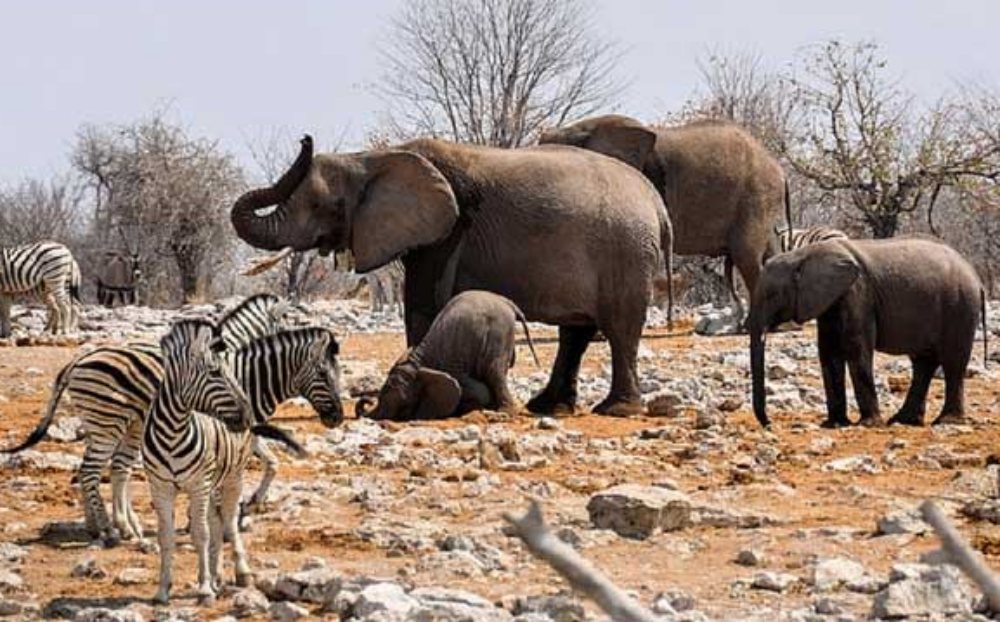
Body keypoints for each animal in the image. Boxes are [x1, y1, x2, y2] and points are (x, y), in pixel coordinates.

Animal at [356, 292, 536, 420]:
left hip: (499, 331)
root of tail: (509, 303)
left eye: (403, 406)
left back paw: (504, 413)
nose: (367, 400)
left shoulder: (453, 366)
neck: (419, 362)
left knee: (494, 372)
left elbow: (478, 390)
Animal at [752, 236, 984, 432]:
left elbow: (856, 349)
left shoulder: (858, 294)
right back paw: (904, 420)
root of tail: (975, 276)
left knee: (952, 361)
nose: (769, 424)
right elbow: (829, 353)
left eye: (771, 295)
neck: (801, 255)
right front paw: (834, 424)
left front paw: (868, 424)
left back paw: (946, 422)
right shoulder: (831, 301)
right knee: (923, 363)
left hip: (960, 306)